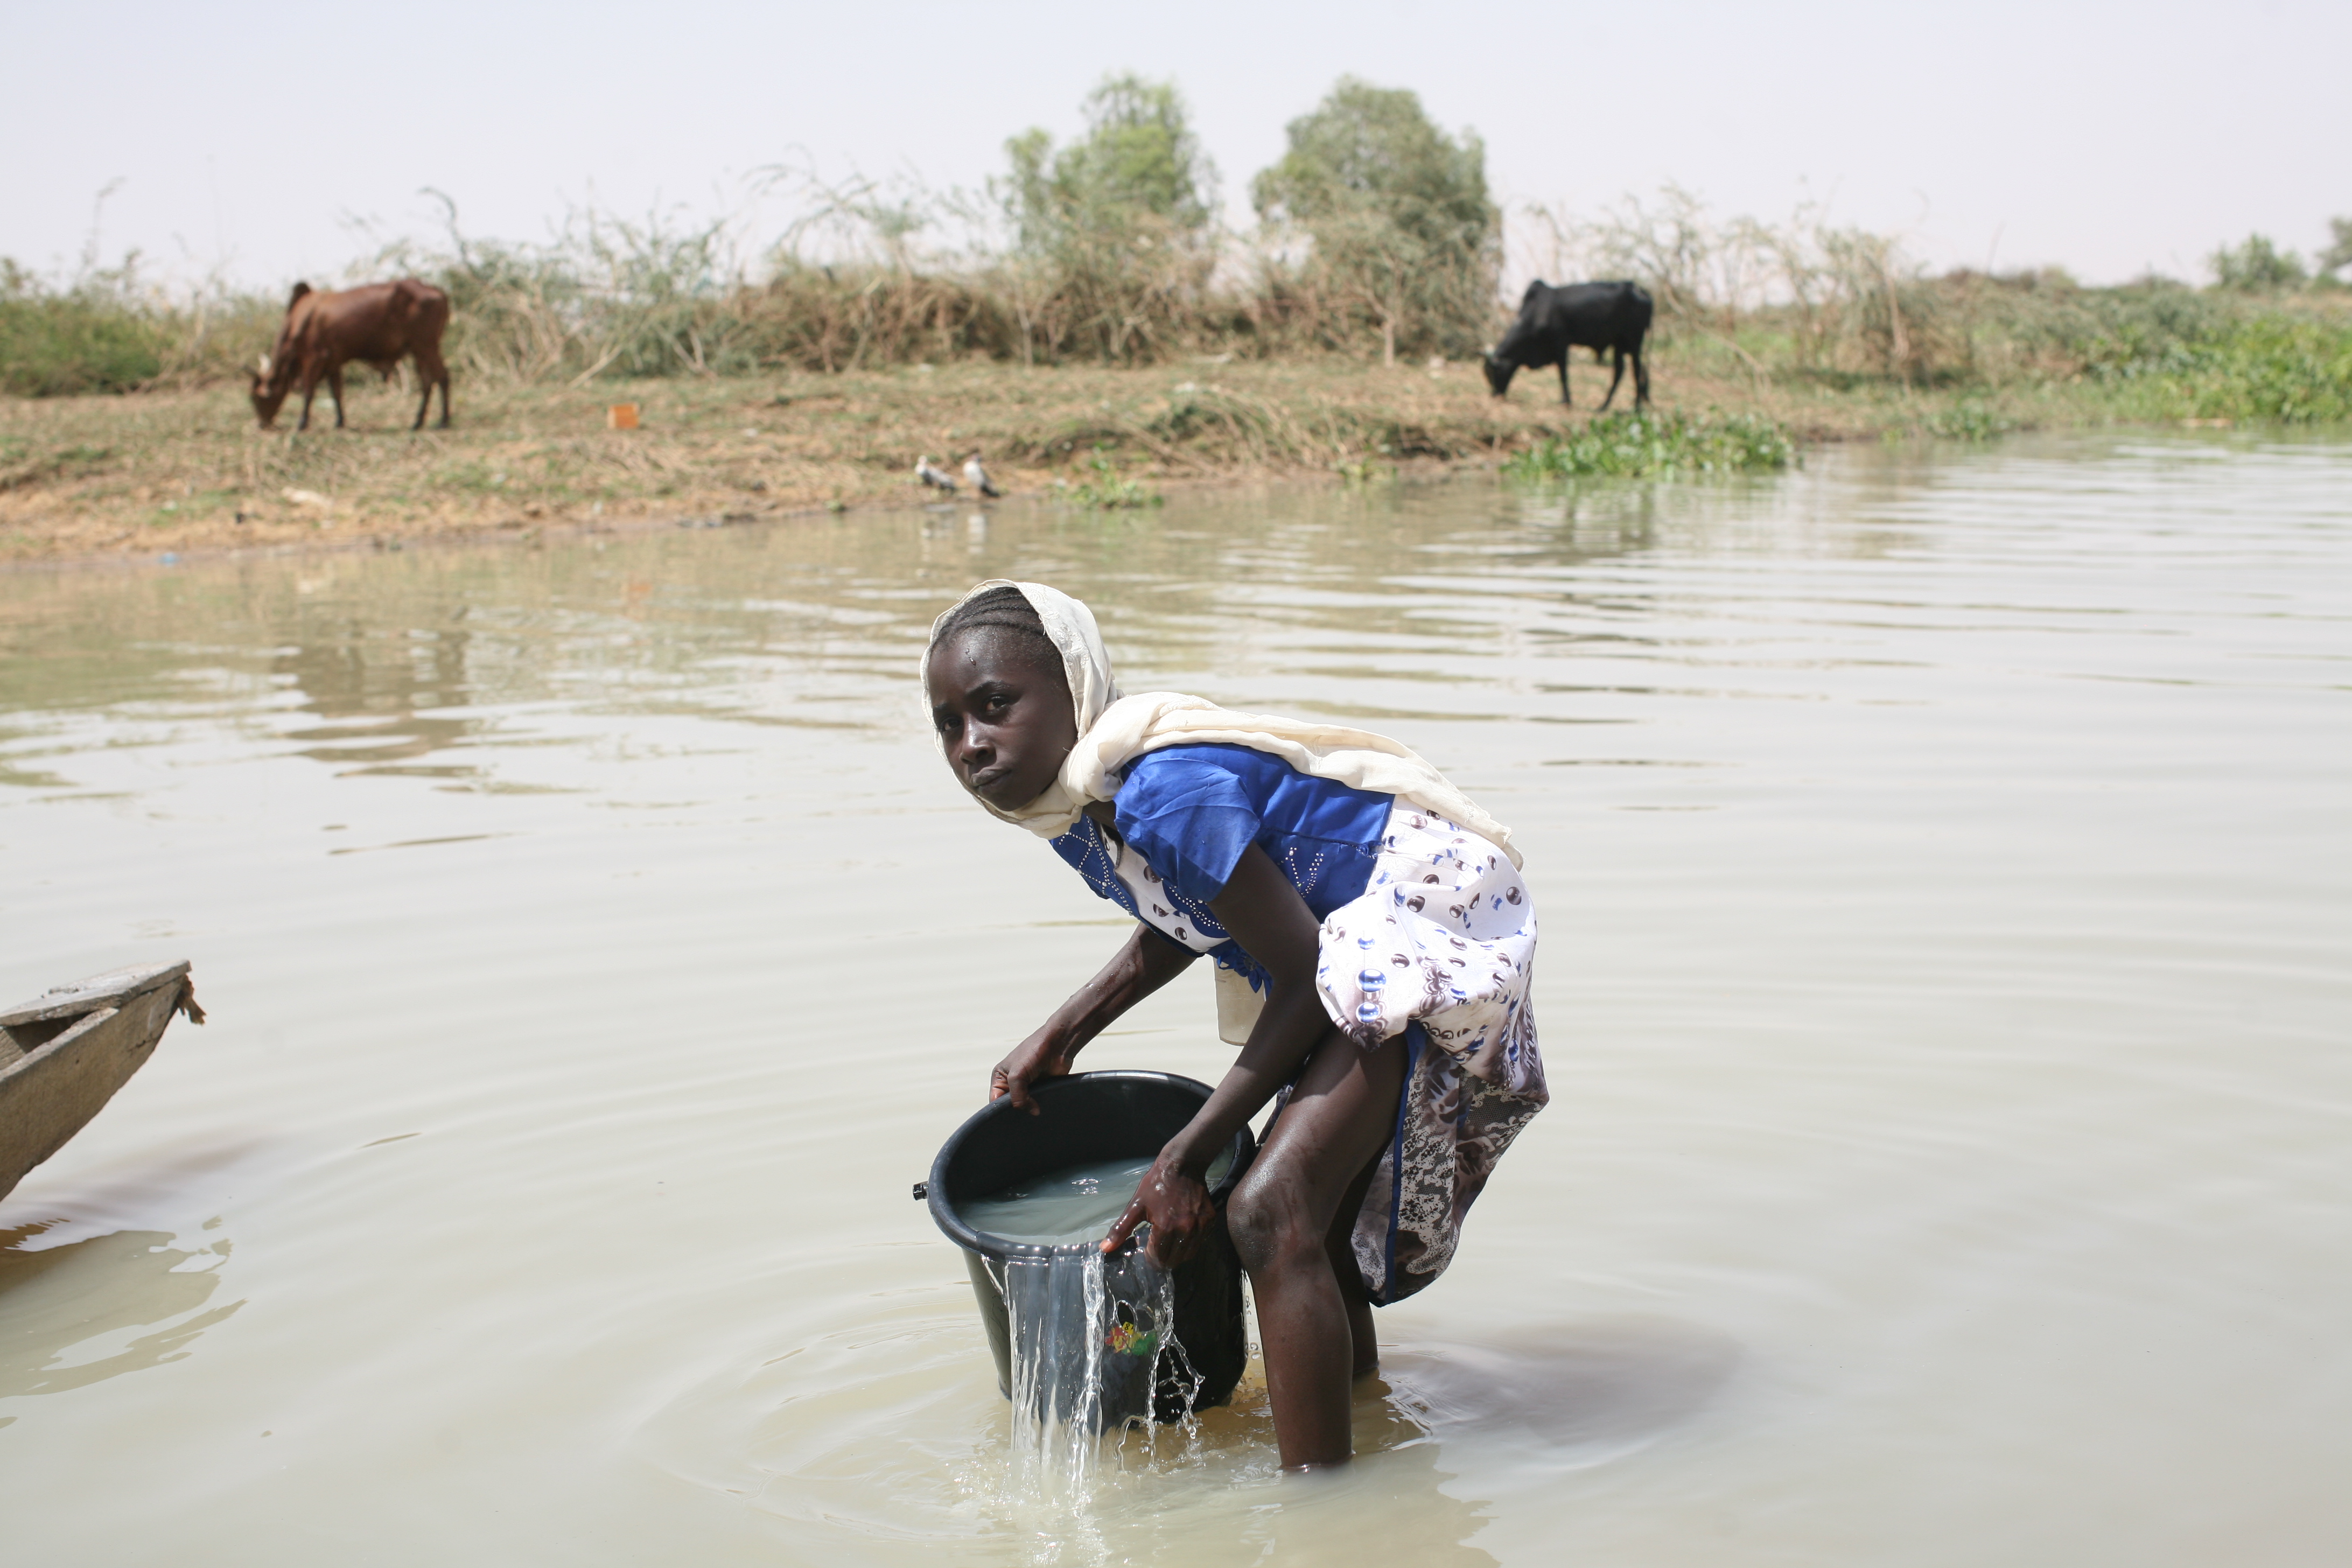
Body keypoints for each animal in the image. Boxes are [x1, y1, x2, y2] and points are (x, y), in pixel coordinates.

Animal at [251, 277, 449, 432]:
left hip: (427, 346)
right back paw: (418, 422)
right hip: (419, 351)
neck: (298, 321)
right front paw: (340, 422)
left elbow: (309, 391)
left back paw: (444, 421)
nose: (262, 424)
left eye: (255, 398)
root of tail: (437, 290)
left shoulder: (314, 357)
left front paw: (302, 423)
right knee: (427, 382)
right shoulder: (333, 362)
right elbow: (337, 392)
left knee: (443, 377)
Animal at [1486, 281, 1656, 411]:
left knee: (1637, 371)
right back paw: (1603, 407)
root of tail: (1642, 292)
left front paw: (1567, 402)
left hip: (1633, 342)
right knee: (1620, 371)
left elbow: (1563, 374)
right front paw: (1565, 400)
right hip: (1619, 344)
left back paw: (1636, 407)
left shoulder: (1561, 343)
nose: (1494, 395)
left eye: (1495, 373)